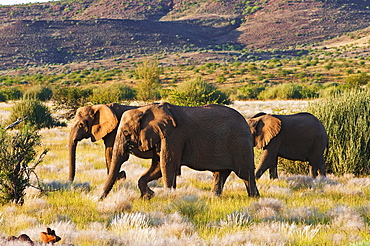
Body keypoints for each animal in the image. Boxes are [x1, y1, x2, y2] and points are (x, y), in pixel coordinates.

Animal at [99, 102, 258, 200]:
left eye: (126, 132)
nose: (98, 200)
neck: (147, 108)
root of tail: (246, 121)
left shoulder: (173, 135)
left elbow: (167, 164)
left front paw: (168, 197)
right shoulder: (162, 136)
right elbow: (158, 166)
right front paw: (149, 196)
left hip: (240, 144)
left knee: (245, 174)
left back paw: (254, 199)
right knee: (220, 174)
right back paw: (214, 198)